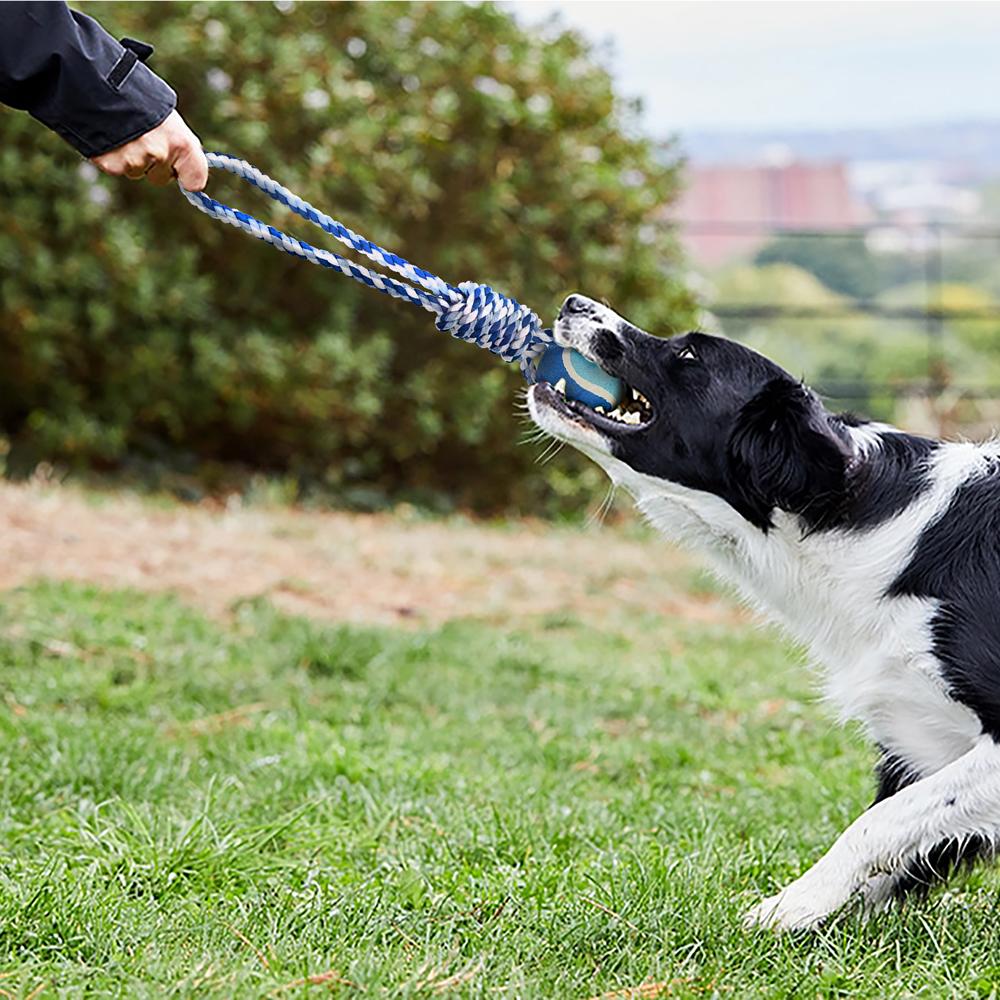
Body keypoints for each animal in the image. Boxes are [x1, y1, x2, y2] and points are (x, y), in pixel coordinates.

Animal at [528, 292, 1000, 932]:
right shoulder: (920, 735)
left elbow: (877, 824)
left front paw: (792, 906)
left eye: (689, 354)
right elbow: (902, 836)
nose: (574, 301)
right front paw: (813, 910)